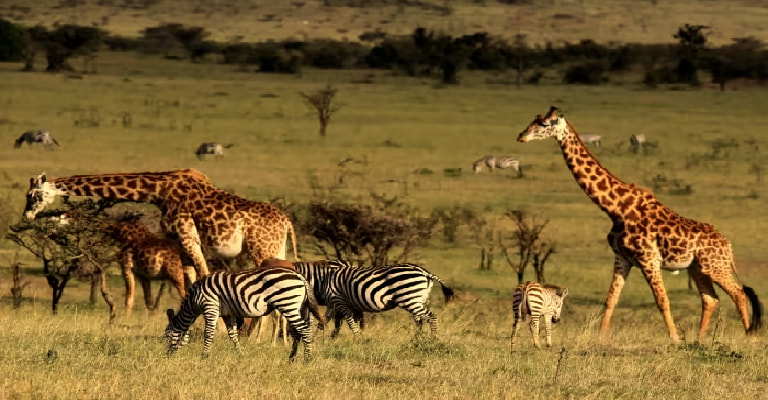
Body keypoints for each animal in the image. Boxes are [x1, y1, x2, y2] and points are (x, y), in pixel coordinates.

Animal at [21, 169, 296, 278]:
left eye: (33, 195)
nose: (27, 216)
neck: (159, 191)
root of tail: (287, 222)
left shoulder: (187, 235)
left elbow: (204, 275)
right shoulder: (178, 241)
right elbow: (190, 279)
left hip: (262, 250)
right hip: (276, 248)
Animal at [165, 266, 324, 362]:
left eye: (166, 336)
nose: (167, 357)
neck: (194, 300)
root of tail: (298, 275)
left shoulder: (210, 307)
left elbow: (208, 333)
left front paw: (204, 357)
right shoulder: (227, 314)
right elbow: (233, 335)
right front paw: (241, 354)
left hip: (288, 304)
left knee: (305, 331)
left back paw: (306, 360)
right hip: (298, 307)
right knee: (298, 332)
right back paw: (291, 358)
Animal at [292, 260, 450, 340]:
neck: (324, 279)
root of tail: (424, 272)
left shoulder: (339, 300)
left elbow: (349, 321)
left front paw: (357, 339)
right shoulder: (333, 303)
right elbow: (324, 322)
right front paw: (317, 338)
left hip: (409, 298)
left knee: (431, 317)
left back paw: (433, 339)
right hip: (417, 299)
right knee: (420, 320)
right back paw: (417, 339)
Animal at [516, 107, 760, 344]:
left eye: (544, 124)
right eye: (533, 120)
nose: (521, 136)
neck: (616, 208)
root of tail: (728, 246)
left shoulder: (648, 258)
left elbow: (662, 300)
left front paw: (674, 339)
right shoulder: (622, 258)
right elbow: (611, 299)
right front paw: (600, 337)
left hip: (715, 267)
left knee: (738, 293)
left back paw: (749, 336)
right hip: (698, 268)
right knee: (710, 299)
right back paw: (700, 339)